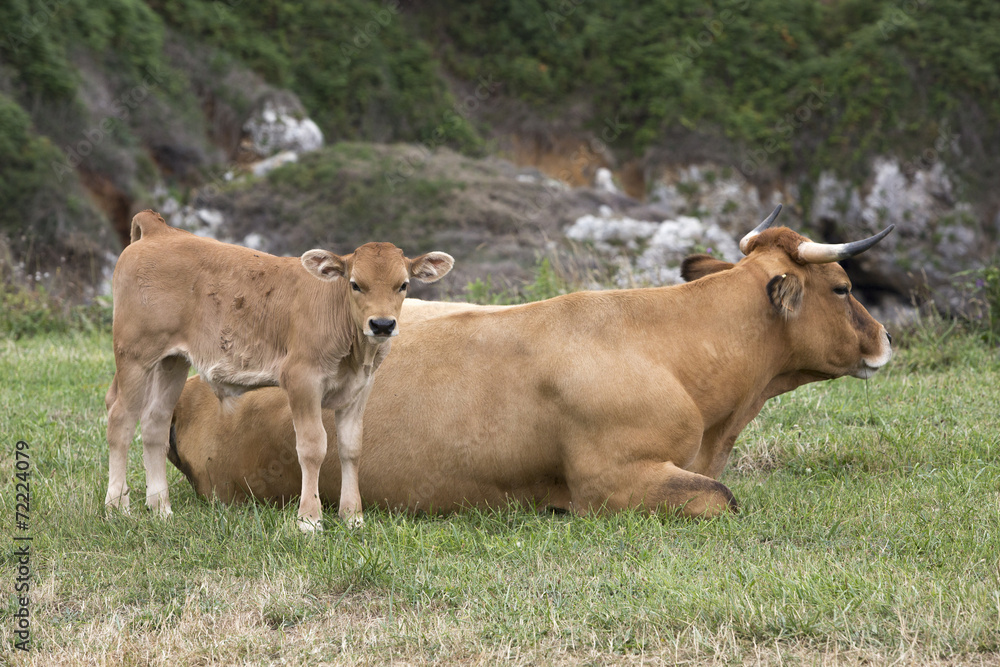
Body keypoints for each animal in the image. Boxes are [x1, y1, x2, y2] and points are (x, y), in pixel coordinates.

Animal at [104, 210, 454, 531]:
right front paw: (310, 519)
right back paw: (116, 507)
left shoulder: (360, 388)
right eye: (355, 284)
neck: (356, 352)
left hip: (172, 361)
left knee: (155, 423)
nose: (382, 324)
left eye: (403, 285)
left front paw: (353, 516)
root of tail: (159, 230)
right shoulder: (301, 379)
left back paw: (161, 508)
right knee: (120, 420)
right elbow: (312, 447)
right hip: (134, 354)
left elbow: (351, 447)